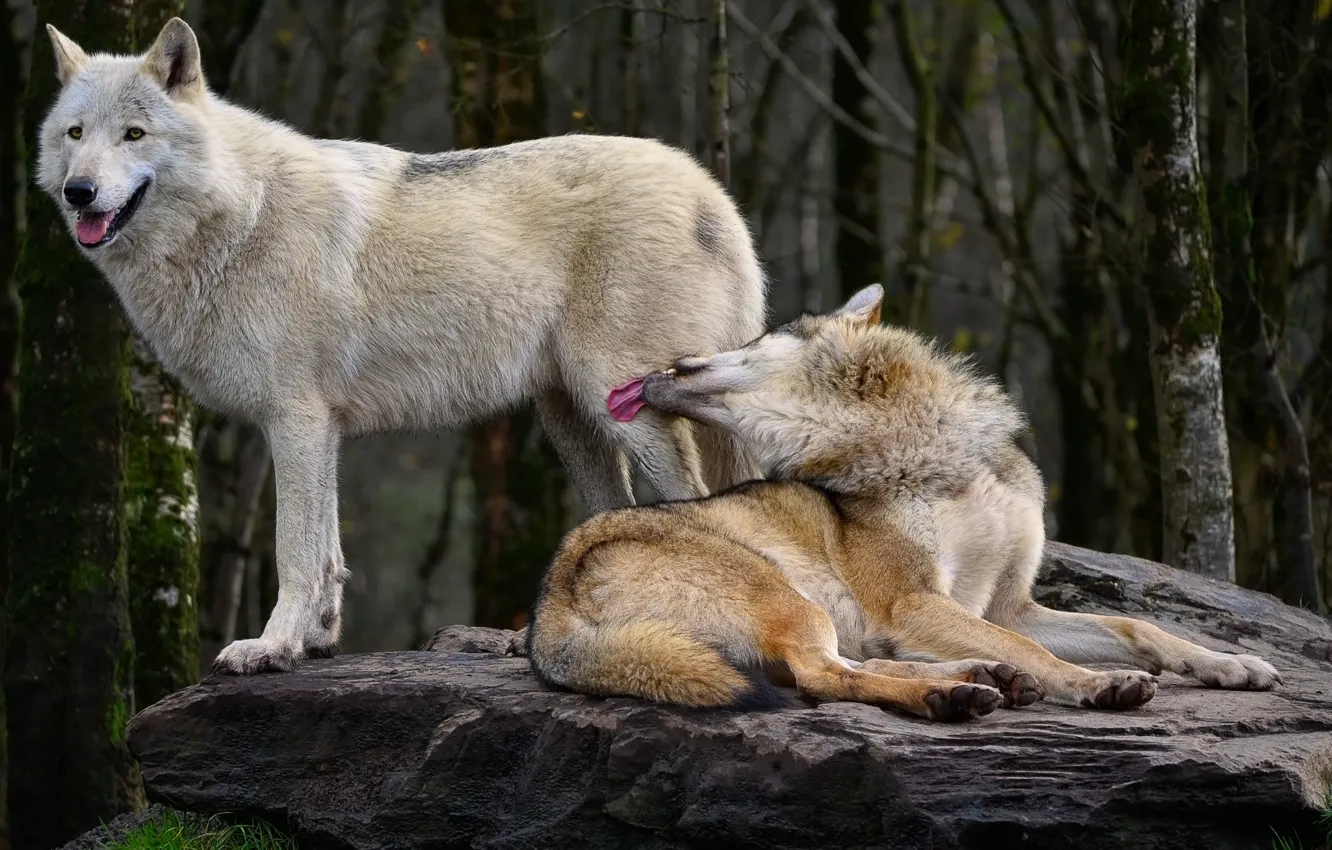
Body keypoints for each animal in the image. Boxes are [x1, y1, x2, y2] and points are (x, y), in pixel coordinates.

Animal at [37, 18, 765, 674]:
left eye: (134, 135)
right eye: (76, 134)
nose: (79, 192)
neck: (239, 216)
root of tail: (714, 195)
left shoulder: (295, 418)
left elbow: (295, 552)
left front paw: (270, 647)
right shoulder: (321, 428)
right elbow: (328, 553)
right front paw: (314, 643)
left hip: (630, 406)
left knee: (699, 504)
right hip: (575, 423)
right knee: (620, 514)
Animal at [527, 285, 1281, 720]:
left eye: (752, 339)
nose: (662, 363)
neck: (920, 450)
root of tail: (547, 609)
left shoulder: (1006, 603)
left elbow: (1134, 627)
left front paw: (1228, 664)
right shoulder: (916, 602)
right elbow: (1040, 649)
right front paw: (1099, 685)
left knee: (853, 668)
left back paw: (979, 678)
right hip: (789, 600)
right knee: (823, 678)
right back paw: (949, 694)